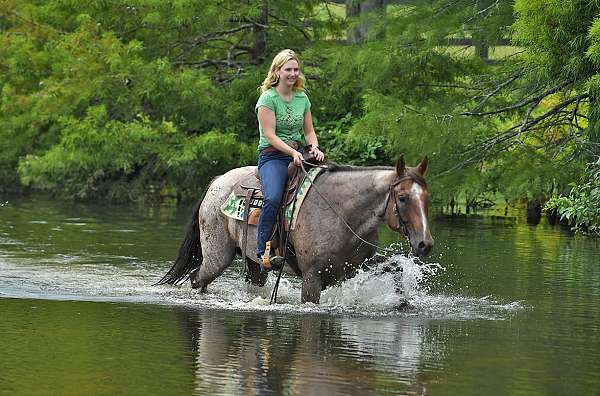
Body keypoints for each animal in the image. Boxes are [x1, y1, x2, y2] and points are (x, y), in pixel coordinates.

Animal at [157, 155, 434, 304]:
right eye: (402, 198)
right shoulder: (312, 278)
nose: (425, 244)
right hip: (217, 257)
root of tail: (217, 182)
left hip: (255, 265)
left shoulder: (355, 266)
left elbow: (395, 267)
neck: (341, 211)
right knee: (197, 278)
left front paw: (404, 303)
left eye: (426, 197)